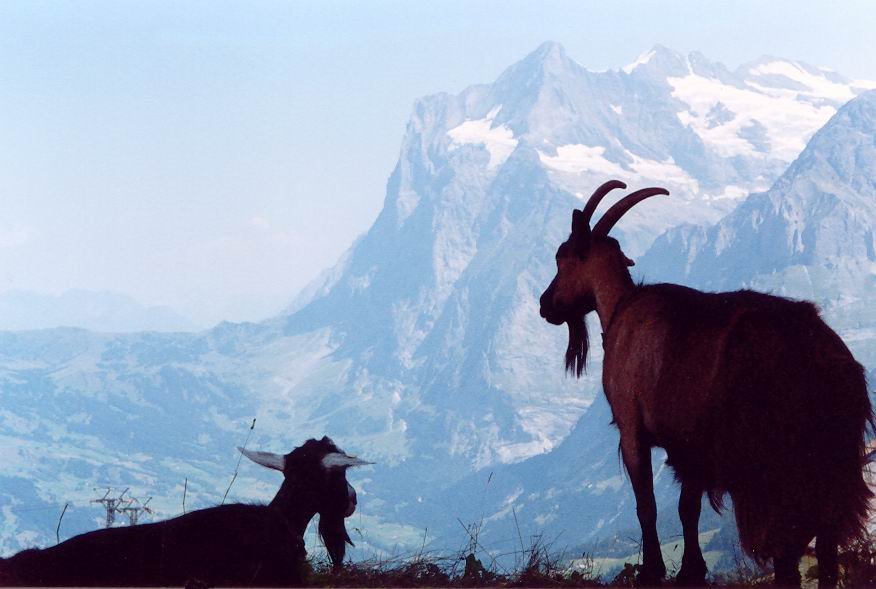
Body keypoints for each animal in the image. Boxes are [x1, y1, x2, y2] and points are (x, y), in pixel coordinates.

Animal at [536, 180, 872, 588]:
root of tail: (831, 364)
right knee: (824, 540)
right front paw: (691, 571)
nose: (546, 305)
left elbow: (647, 505)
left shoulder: (632, 428)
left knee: (788, 541)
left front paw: (653, 570)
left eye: (563, 257)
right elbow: (688, 508)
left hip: (776, 467)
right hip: (829, 463)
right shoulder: (690, 446)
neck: (621, 309)